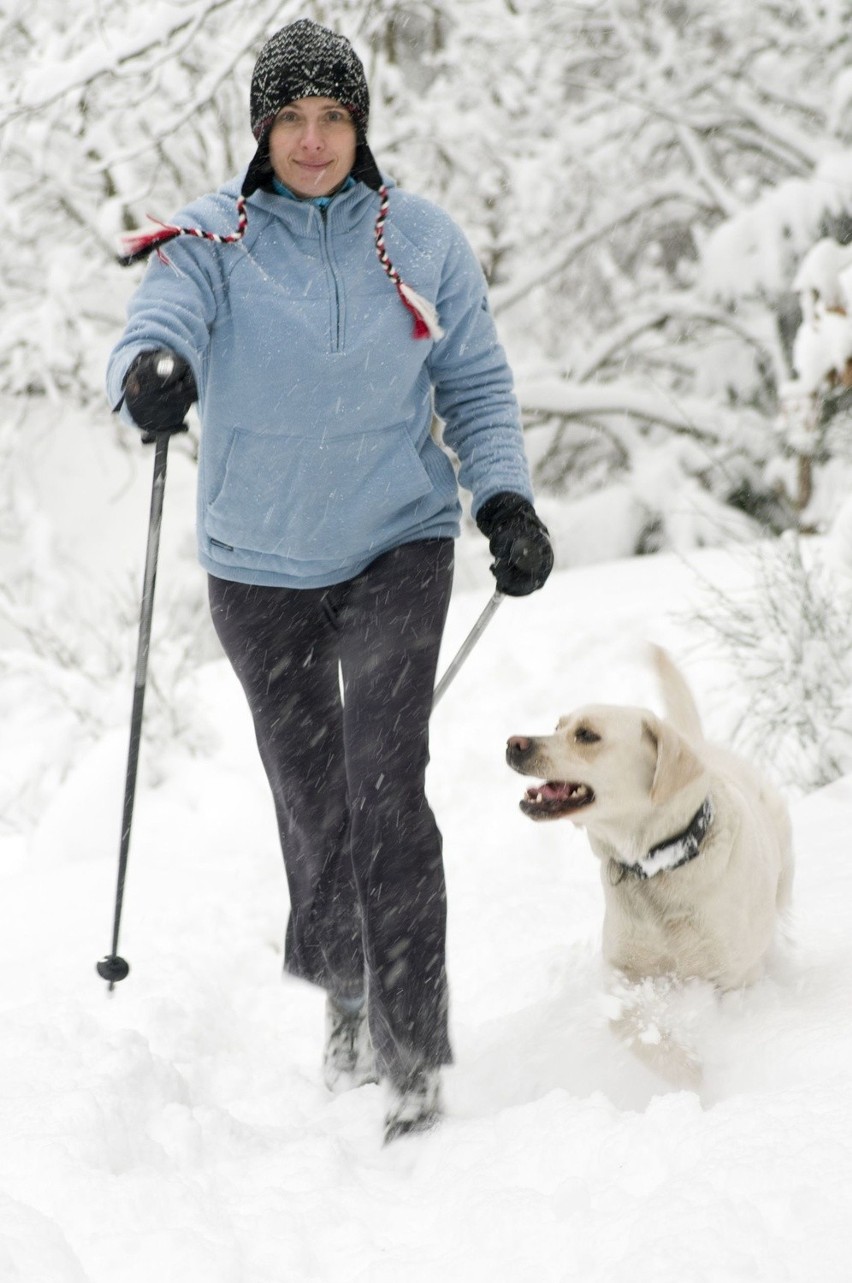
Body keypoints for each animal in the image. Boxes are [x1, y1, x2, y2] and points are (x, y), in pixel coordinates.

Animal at [505, 651, 790, 1082]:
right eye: (557, 726)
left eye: (586, 735)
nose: (513, 743)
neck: (658, 864)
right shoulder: (624, 971)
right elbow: (627, 1021)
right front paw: (685, 1069)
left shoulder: (734, 978)